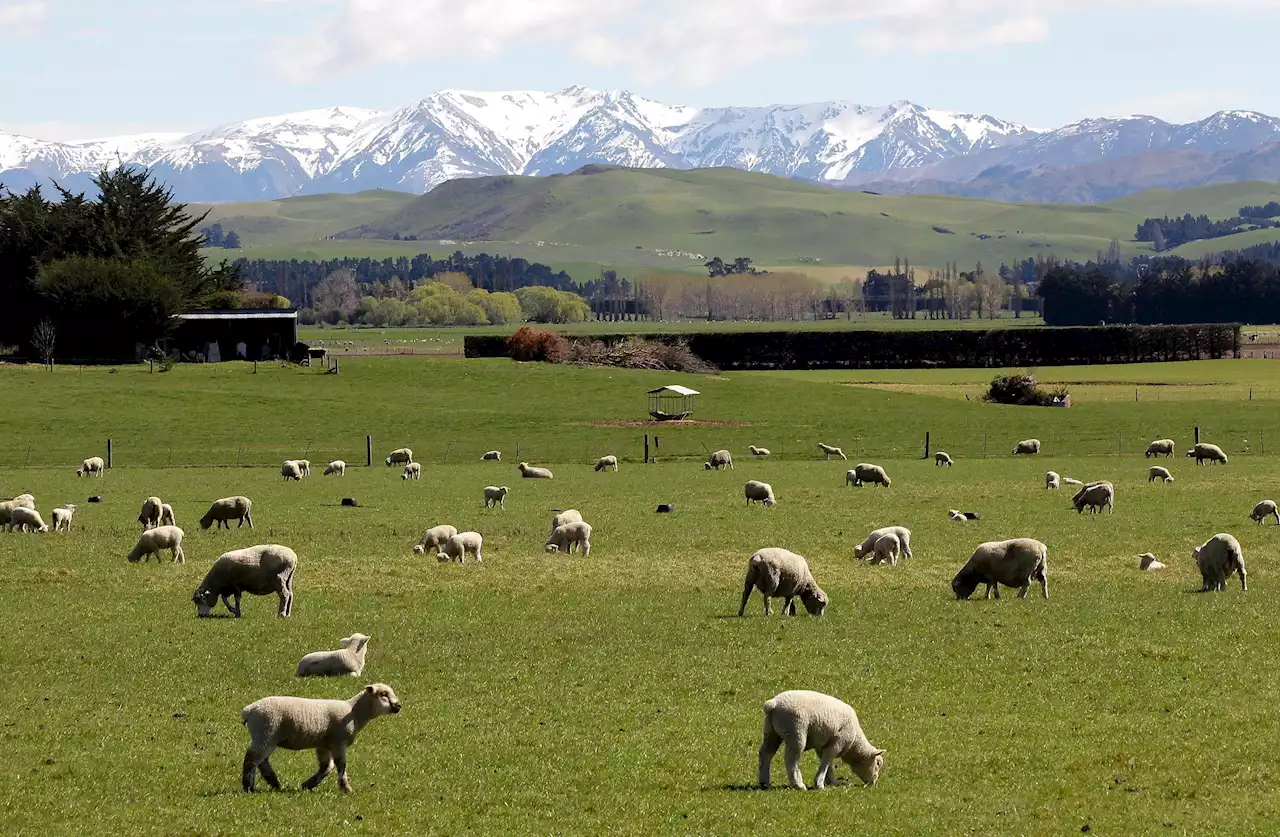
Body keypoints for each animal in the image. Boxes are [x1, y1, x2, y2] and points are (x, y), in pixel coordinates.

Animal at [240, 680, 399, 793]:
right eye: (384, 694)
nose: (398, 706)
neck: (354, 712)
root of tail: (249, 709)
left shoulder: (324, 745)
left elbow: (326, 767)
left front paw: (307, 785)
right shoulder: (338, 742)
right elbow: (341, 765)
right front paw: (346, 789)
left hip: (267, 737)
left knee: (262, 761)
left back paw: (274, 783)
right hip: (266, 733)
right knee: (251, 760)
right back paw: (248, 787)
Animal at [752, 691, 885, 788]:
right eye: (878, 763)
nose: (873, 783)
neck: (854, 744)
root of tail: (774, 703)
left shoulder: (823, 745)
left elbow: (827, 763)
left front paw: (832, 782)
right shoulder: (837, 743)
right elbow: (826, 761)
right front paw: (820, 784)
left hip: (771, 731)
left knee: (766, 753)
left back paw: (765, 783)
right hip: (796, 731)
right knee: (791, 760)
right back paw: (798, 785)